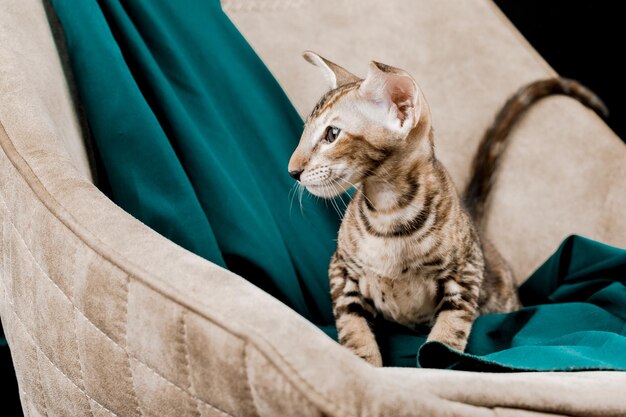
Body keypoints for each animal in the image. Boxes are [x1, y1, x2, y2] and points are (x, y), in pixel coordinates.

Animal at [290, 51, 608, 364]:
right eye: (305, 133)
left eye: (332, 134)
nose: (293, 171)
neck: (388, 212)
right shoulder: (341, 269)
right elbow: (352, 324)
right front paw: (363, 361)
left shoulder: (466, 272)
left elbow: (447, 334)